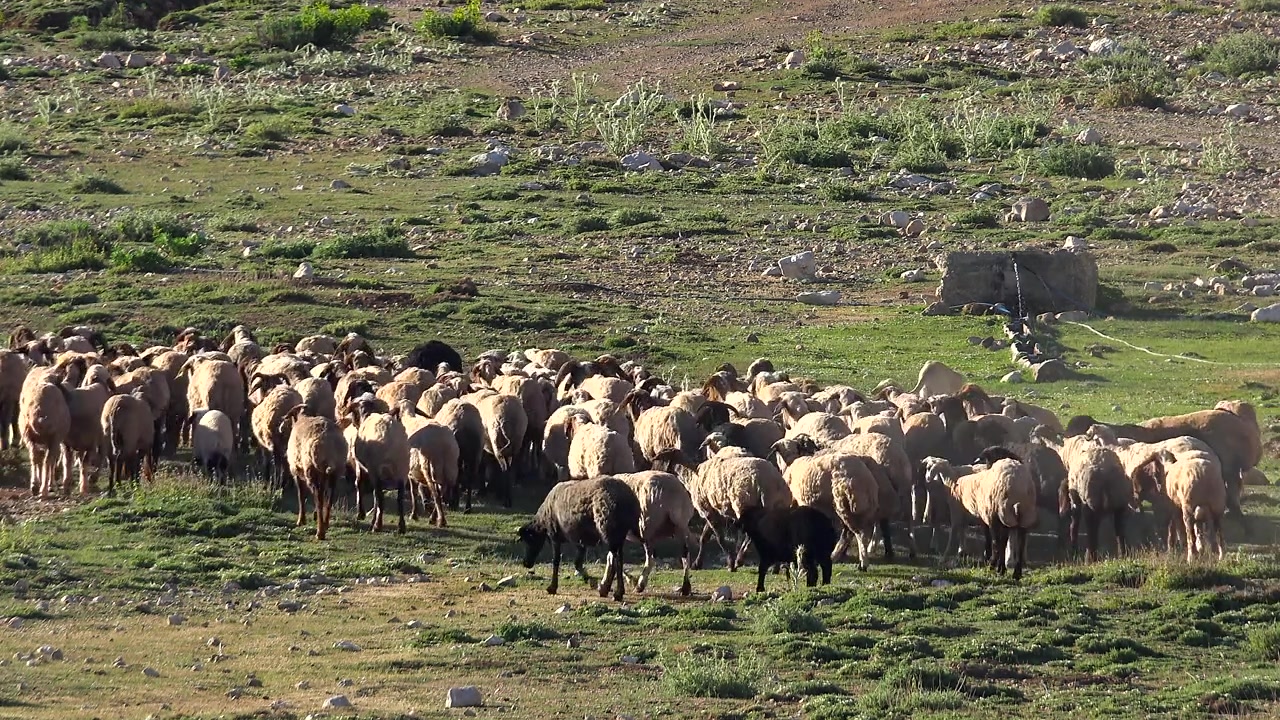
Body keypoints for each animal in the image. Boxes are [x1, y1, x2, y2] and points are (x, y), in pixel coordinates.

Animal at [283, 405, 347, 539]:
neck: (303, 416)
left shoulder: (296, 471)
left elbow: (301, 495)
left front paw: (301, 520)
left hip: (312, 469)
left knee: (319, 498)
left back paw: (320, 532)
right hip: (334, 472)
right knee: (329, 497)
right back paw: (325, 523)